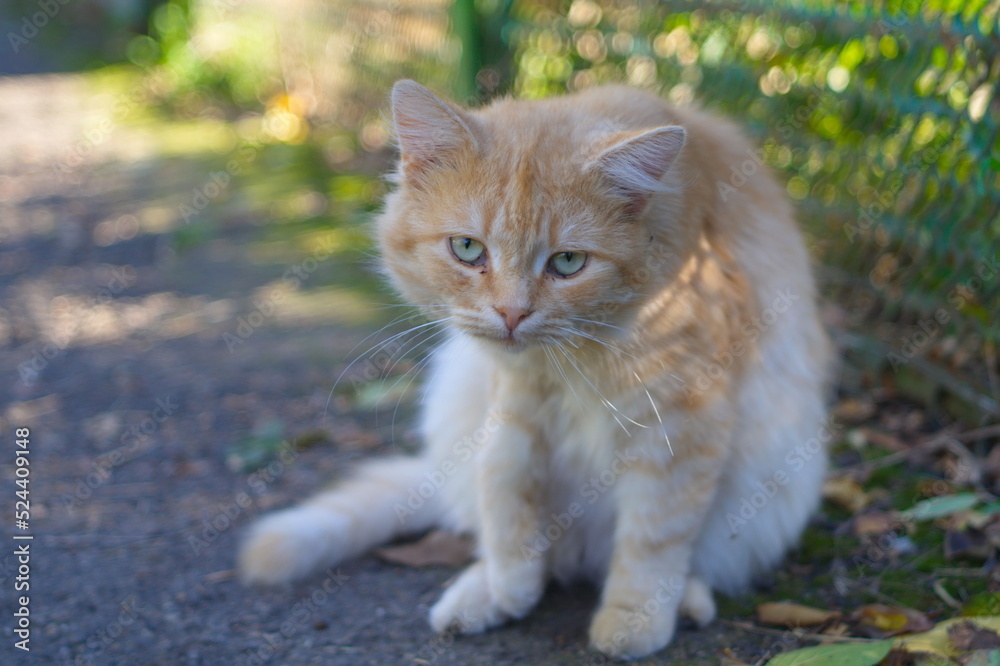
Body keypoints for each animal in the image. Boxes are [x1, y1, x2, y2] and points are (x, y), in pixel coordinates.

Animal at [238, 80, 832, 656]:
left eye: (568, 262)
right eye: (467, 248)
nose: (511, 313)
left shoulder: (684, 422)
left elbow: (655, 534)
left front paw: (633, 617)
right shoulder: (514, 402)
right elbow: (504, 481)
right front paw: (511, 582)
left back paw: (682, 599)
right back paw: (480, 593)